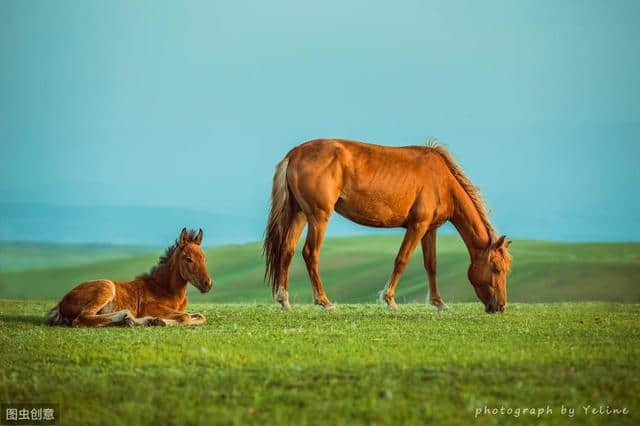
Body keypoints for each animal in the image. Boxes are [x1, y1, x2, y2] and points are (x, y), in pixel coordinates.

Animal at [48, 228, 212, 328]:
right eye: (188, 259)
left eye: (204, 258)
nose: (208, 284)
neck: (164, 288)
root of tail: (61, 303)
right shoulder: (150, 307)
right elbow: (185, 317)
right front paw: (160, 321)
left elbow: (200, 316)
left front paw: (157, 321)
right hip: (106, 287)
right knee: (82, 318)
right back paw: (131, 317)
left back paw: (134, 321)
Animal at [264, 139, 510, 312]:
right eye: (496, 269)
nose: (500, 307)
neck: (442, 181)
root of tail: (294, 153)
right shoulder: (417, 226)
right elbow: (402, 260)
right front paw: (389, 300)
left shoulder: (429, 229)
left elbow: (431, 265)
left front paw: (438, 303)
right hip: (318, 217)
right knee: (310, 253)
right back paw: (324, 301)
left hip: (299, 215)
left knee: (287, 251)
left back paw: (284, 301)